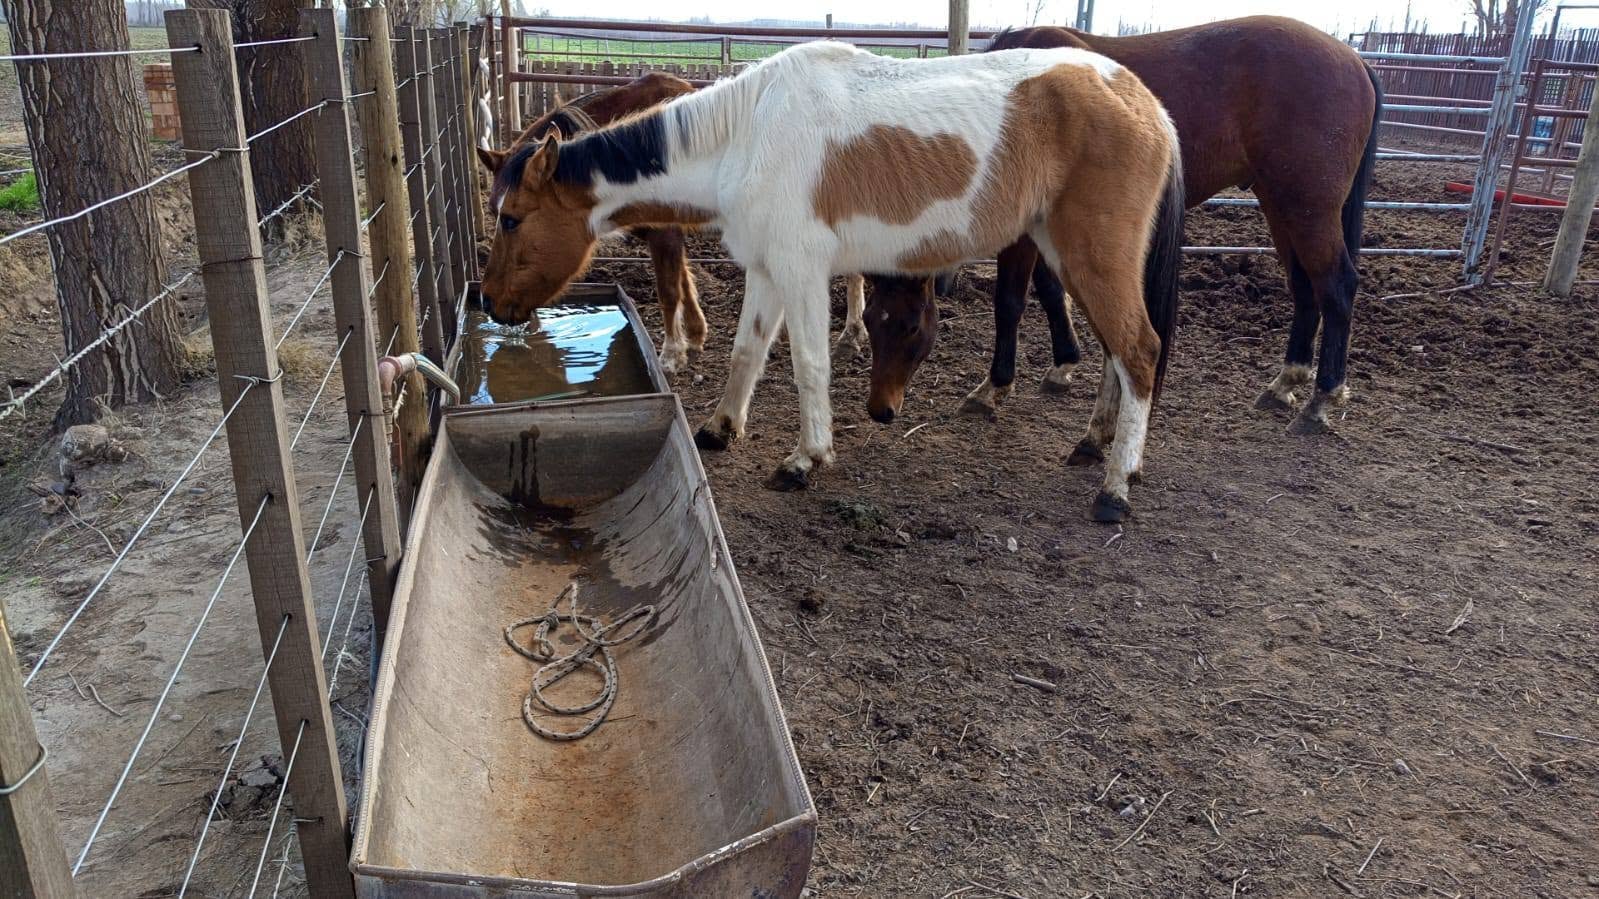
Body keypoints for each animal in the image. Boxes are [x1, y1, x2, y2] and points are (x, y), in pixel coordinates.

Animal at [479, 73, 870, 374]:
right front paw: (696, 334)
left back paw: (851, 333)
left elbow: (668, 288)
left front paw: (672, 353)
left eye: (511, 220)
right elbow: (684, 279)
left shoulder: (663, 232)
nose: (487, 302)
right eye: (492, 213)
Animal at [865, 17, 1382, 436]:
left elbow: (1009, 302)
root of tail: (1353, 58)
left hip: (1308, 207)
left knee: (1335, 285)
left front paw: (994, 387)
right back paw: (1286, 382)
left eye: (910, 326)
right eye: (870, 320)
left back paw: (1322, 399)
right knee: (1305, 288)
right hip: (1281, 203)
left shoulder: (1022, 232)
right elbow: (1052, 292)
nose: (882, 410)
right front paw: (1064, 364)